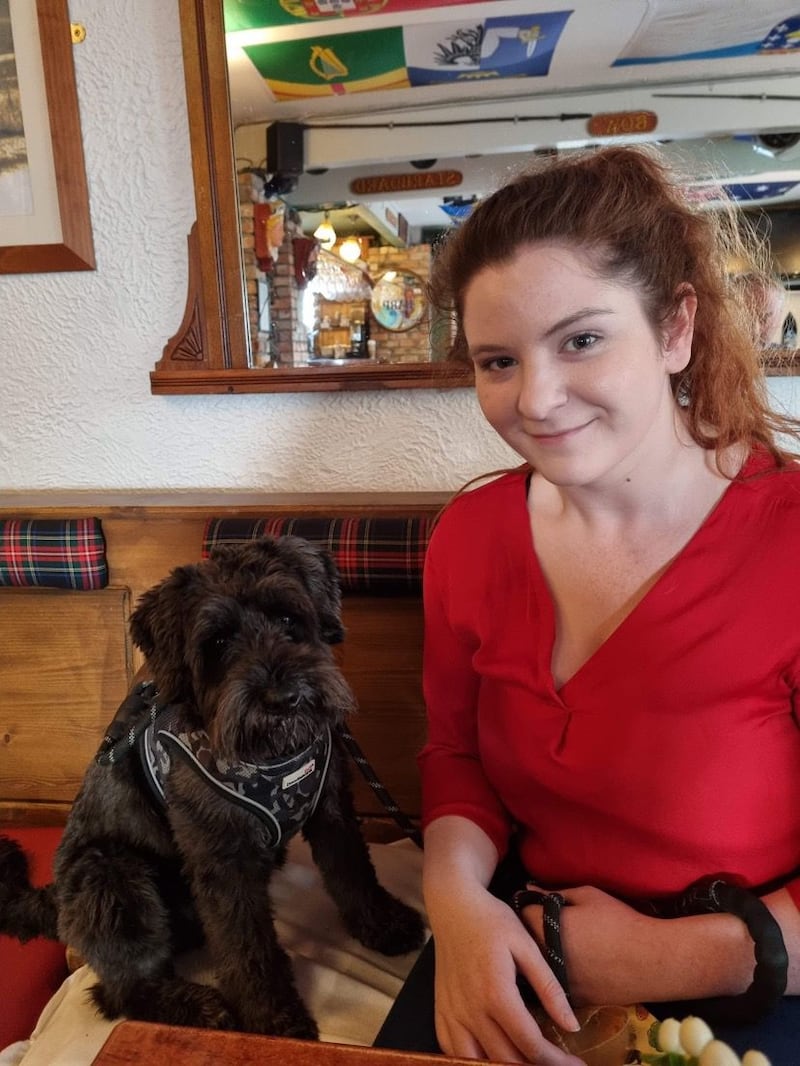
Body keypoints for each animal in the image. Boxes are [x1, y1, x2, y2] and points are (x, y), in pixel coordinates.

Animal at [0, 537, 426, 1036]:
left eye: (288, 619)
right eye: (218, 642)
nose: (284, 699)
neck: (271, 758)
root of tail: (52, 900)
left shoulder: (332, 808)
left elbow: (353, 873)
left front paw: (383, 924)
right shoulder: (224, 860)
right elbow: (246, 945)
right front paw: (272, 1018)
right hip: (110, 876)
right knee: (121, 991)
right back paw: (196, 1008)